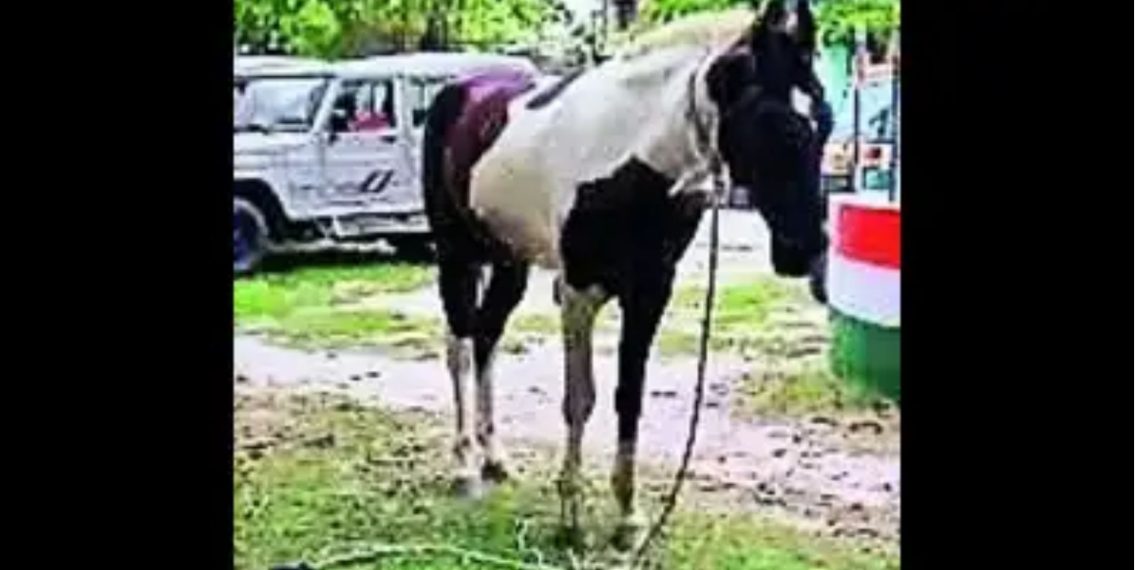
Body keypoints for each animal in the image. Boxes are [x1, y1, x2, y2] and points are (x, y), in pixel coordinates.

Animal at [421, 0, 830, 549]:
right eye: (768, 123)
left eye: (824, 122)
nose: (804, 253)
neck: (631, 158)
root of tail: (459, 89)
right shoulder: (577, 290)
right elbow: (579, 400)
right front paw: (571, 518)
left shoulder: (650, 290)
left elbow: (628, 398)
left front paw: (629, 519)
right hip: (457, 254)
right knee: (461, 347)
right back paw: (465, 467)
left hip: (510, 261)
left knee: (485, 338)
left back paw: (495, 459)